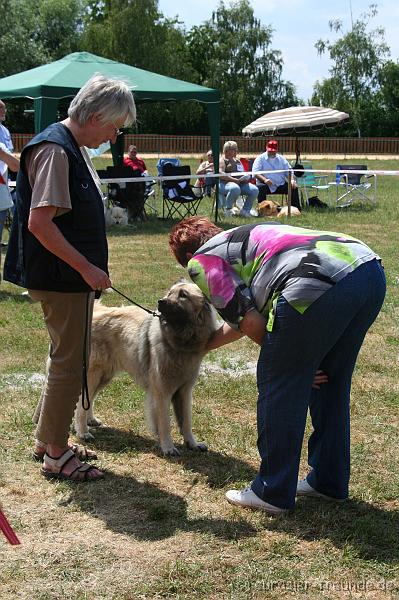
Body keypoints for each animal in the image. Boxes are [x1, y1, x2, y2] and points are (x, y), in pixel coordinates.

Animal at [76, 282, 219, 454]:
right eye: (170, 293)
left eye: (183, 295)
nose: (160, 301)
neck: (178, 343)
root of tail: (95, 311)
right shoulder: (162, 393)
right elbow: (165, 423)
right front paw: (168, 447)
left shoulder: (184, 391)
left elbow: (186, 421)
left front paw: (192, 443)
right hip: (94, 374)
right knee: (81, 403)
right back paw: (83, 432)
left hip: (104, 376)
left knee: (89, 398)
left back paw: (91, 420)